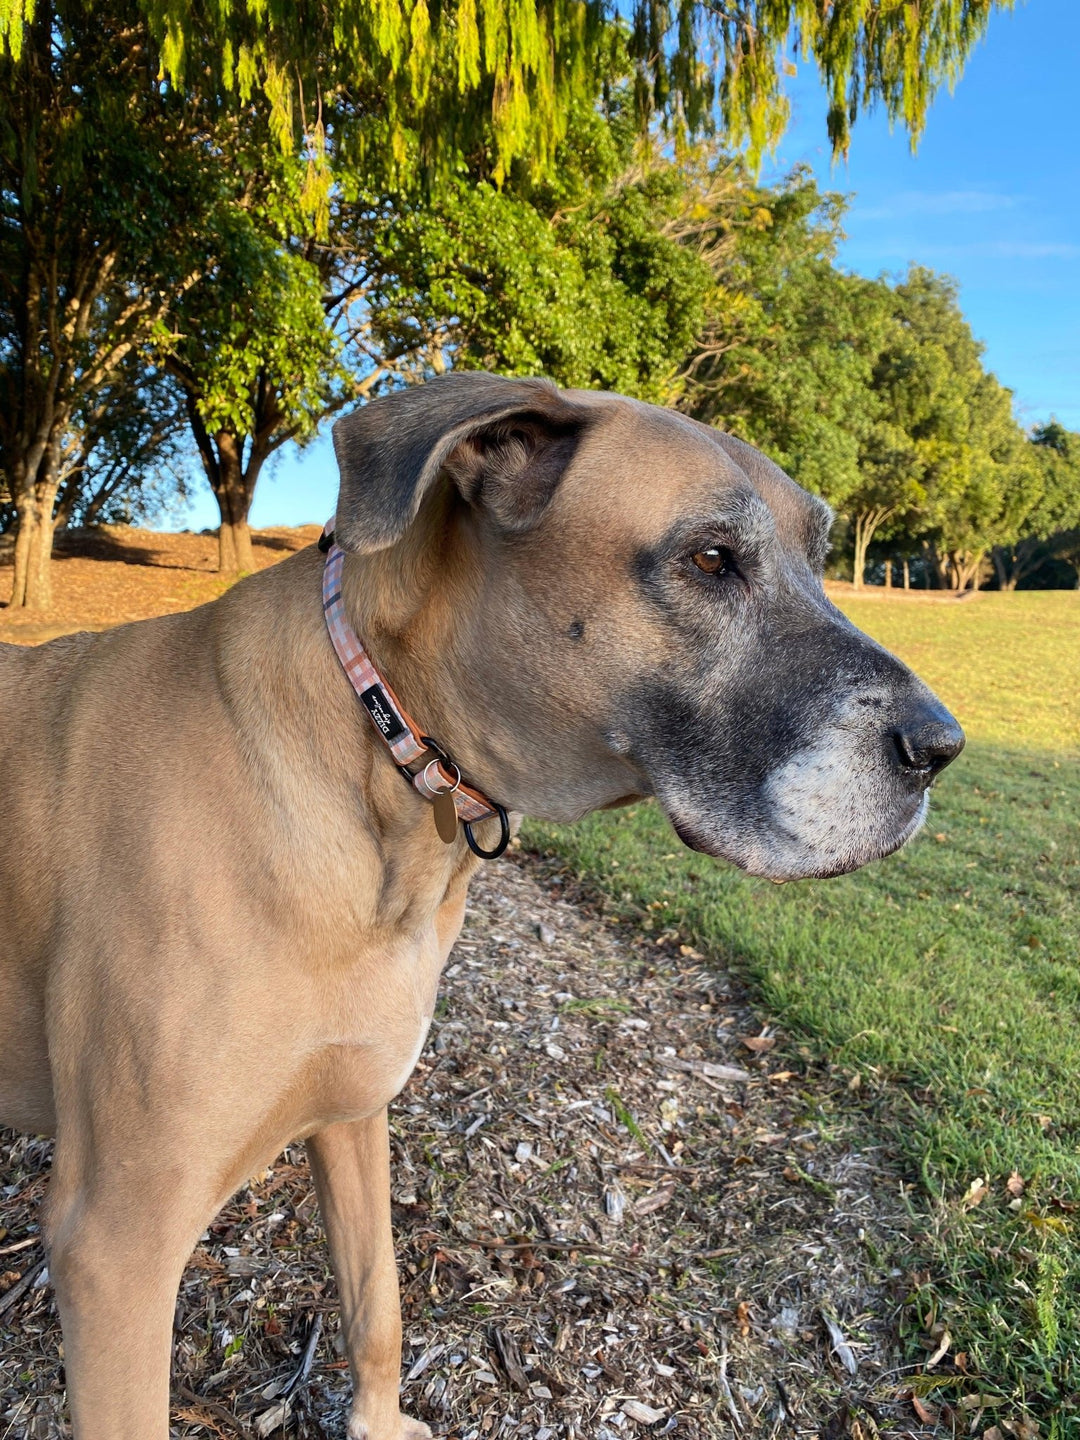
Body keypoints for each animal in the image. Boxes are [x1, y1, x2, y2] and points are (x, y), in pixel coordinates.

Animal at [0, 374, 961, 1440]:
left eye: (821, 559)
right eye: (712, 559)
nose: (942, 747)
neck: (381, 763)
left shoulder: (354, 1111)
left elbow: (377, 1303)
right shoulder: (115, 1249)